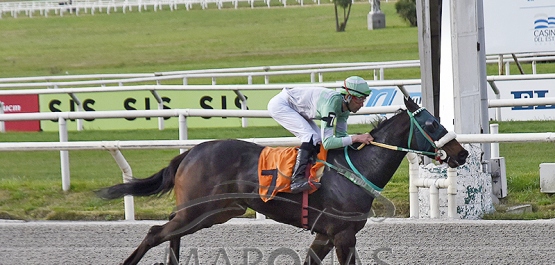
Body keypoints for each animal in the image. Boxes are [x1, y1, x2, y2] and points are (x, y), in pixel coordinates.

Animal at [96, 97, 470, 264]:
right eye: (433, 124)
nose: (463, 153)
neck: (357, 167)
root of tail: (189, 153)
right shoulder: (343, 234)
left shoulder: (325, 234)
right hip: (199, 210)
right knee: (154, 233)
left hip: (214, 212)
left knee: (170, 235)